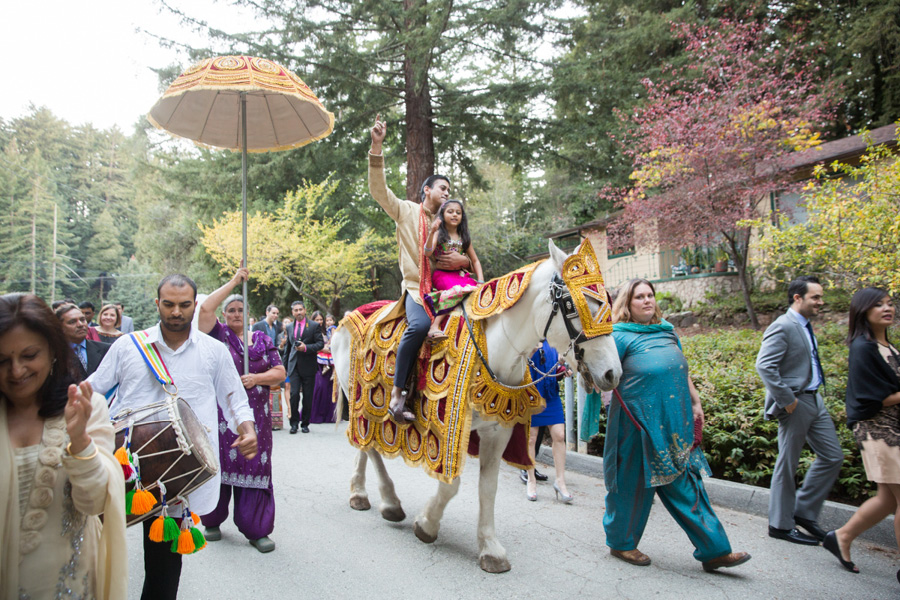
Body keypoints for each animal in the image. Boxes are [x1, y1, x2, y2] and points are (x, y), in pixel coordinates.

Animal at [334, 239, 624, 572]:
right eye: (574, 305)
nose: (613, 374)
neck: (498, 346)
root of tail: (347, 317)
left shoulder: (498, 431)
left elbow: (488, 488)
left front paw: (490, 549)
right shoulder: (446, 430)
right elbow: (451, 485)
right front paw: (427, 524)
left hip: (360, 396)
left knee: (363, 443)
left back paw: (359, 492)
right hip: (360, 397)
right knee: (369, 446)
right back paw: (391, 502)